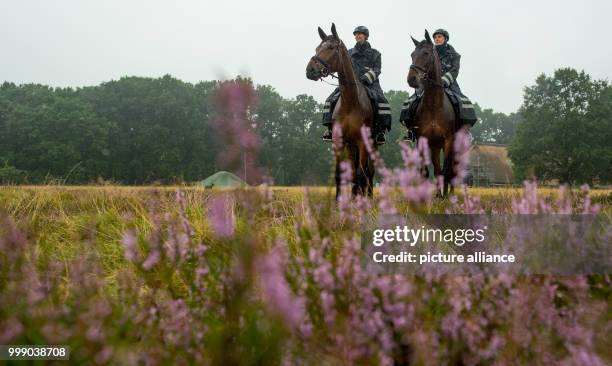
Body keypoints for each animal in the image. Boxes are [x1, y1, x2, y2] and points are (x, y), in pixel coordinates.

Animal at [304, 23, 376, 199]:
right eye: (317, 48)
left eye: (331, 47)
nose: (310, 70)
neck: (350, 102)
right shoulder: (340, 142)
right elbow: (340, 174)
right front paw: (338, 202)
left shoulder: (363, 143)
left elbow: (361, 174)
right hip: (351, 147)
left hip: (372, 145)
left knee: (369, 173)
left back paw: (368, 197)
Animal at [408, 30, 456, 197]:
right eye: (412, 54)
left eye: (426, 53)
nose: (411, 79)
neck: (434, 106)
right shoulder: (423, 140)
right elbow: (426, 172)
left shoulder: (448, 140)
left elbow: (446, 170)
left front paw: (445, 197)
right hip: (435, 146)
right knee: (437, 169)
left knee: (450, 170)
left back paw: (449, 194)